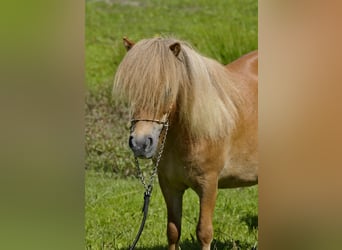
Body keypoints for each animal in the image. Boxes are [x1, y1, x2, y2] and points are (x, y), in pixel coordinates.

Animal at [113, 36, 258, 249]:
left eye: (167, 90)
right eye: (132, 91)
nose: (140, 143)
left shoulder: (209, 185)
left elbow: (204, 233)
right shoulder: (170, 186)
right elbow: (173, 232)